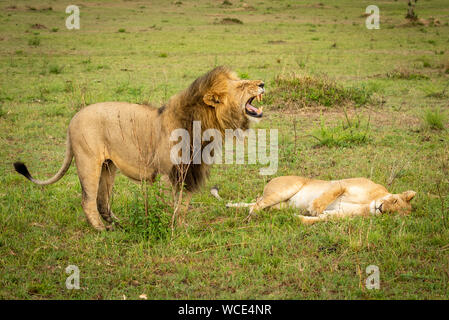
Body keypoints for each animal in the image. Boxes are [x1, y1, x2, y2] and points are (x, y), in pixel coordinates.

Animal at [14, 66, 266, 229]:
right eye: (242, 86)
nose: (262, 84)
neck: (204, 122)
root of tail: (72, 120)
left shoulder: (188, 171)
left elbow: (182, 205)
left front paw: (181, 228)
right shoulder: (167, 172)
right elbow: (169, 204)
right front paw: (167, 227)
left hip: (108, 167)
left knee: (102, 201)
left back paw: (118, 224)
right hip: (88, 162)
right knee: (87, 200)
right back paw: (101, 231)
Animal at [222, 176, 414, 224]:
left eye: (393, 215)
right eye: (395, 201)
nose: (382, 209)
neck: (369, 204)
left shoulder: (336, 215)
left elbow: (316, 220)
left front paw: (299, 218)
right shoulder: (343, 183)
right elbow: (330, 194)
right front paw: (313, 207)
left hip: (280, 205)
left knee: (258, 205)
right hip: (285, 189)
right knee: (256, 205)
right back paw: (251, 217)